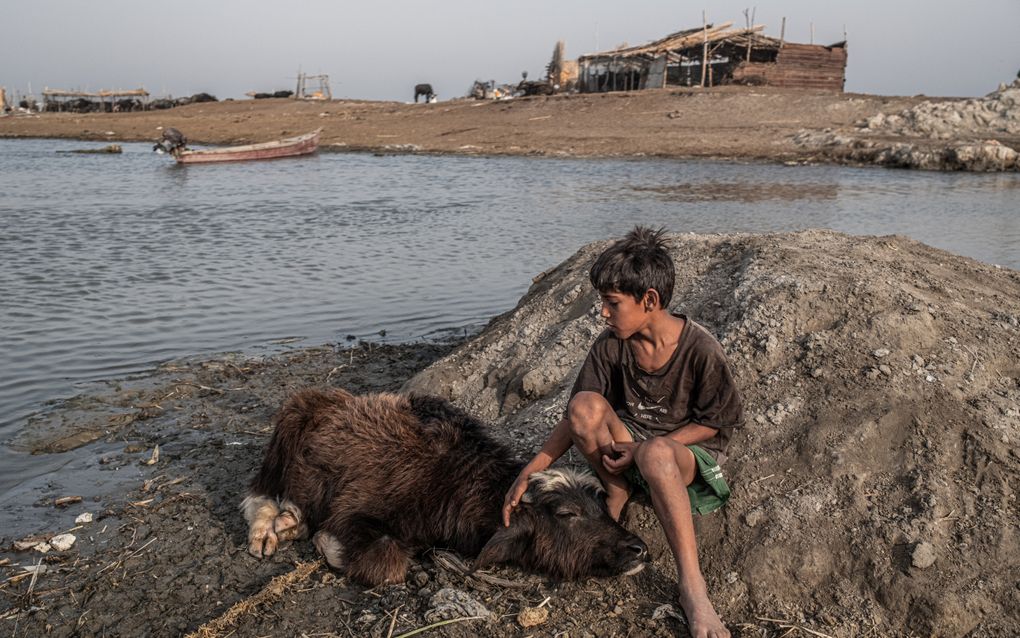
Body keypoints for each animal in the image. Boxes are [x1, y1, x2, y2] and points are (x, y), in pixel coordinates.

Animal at [242, 385, 648, 583]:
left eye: (600, 505)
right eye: (567, 513)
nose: (638, 549)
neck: (448, 478)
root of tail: (326, 401)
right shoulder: (351, 512)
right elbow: (387, 561)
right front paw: (327, 544)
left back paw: (290, 523)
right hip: (282, 438)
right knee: (259, 494)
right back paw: (270, 531)